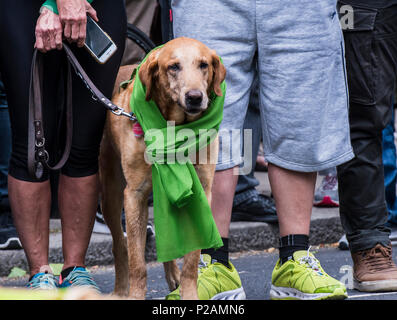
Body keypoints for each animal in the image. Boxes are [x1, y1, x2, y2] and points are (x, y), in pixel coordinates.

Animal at [98, 37, 224, 300]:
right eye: (173, 67)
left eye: (204, 65)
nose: (195, 97)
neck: (175, 126)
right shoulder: (134, 194)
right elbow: (137, 261)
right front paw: (135, 295)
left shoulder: (201, 191)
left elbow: (191, 260)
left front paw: (188, 292)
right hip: (111, 194)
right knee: (119, 245)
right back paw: (120, 290)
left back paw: (173, 275)